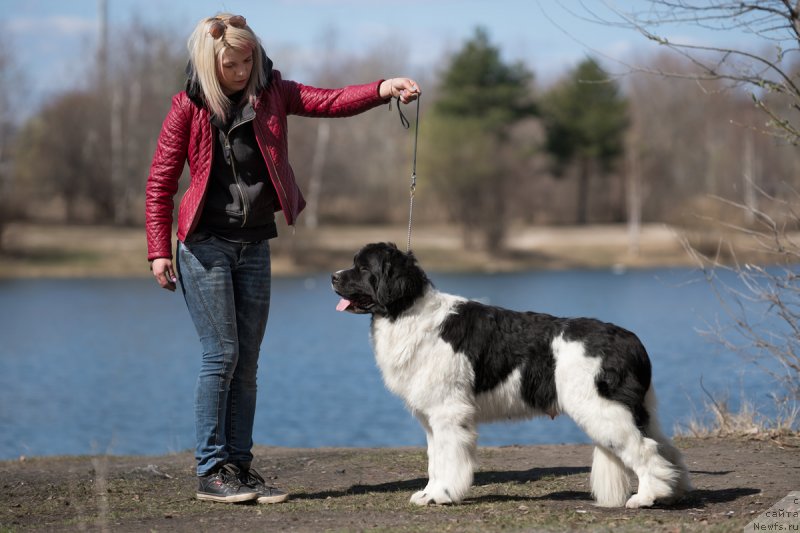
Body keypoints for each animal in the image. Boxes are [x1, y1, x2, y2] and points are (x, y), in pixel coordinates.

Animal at [332, 242, 692, 508]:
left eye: (363, 268)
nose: (333, 277)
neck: (405, 311)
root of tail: (630, 339)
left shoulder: (449, 413)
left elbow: (448, 459)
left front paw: (443, 495)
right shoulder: (433, 418)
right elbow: (435, 459)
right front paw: (429, 494)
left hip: (604, 410)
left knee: (646, 450)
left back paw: (646, 497)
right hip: (635, 410)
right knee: (666, 449)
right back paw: (673, 492)